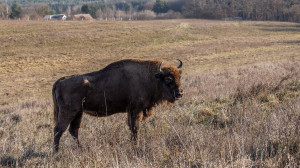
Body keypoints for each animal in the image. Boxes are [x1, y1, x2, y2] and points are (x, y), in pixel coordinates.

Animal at [51, 58, 183, 151]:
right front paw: (135, 145)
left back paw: (81, 149)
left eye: (179, 77)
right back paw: (56, 153)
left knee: (74, 130)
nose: (180, 93)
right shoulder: (136, 110)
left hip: (78, 113)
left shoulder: (131, 111)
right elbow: (135, 128)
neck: (150, 78)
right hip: (68, 113)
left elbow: (132, 127)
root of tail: (59, 81)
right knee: (58, 130)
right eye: (168, 79)